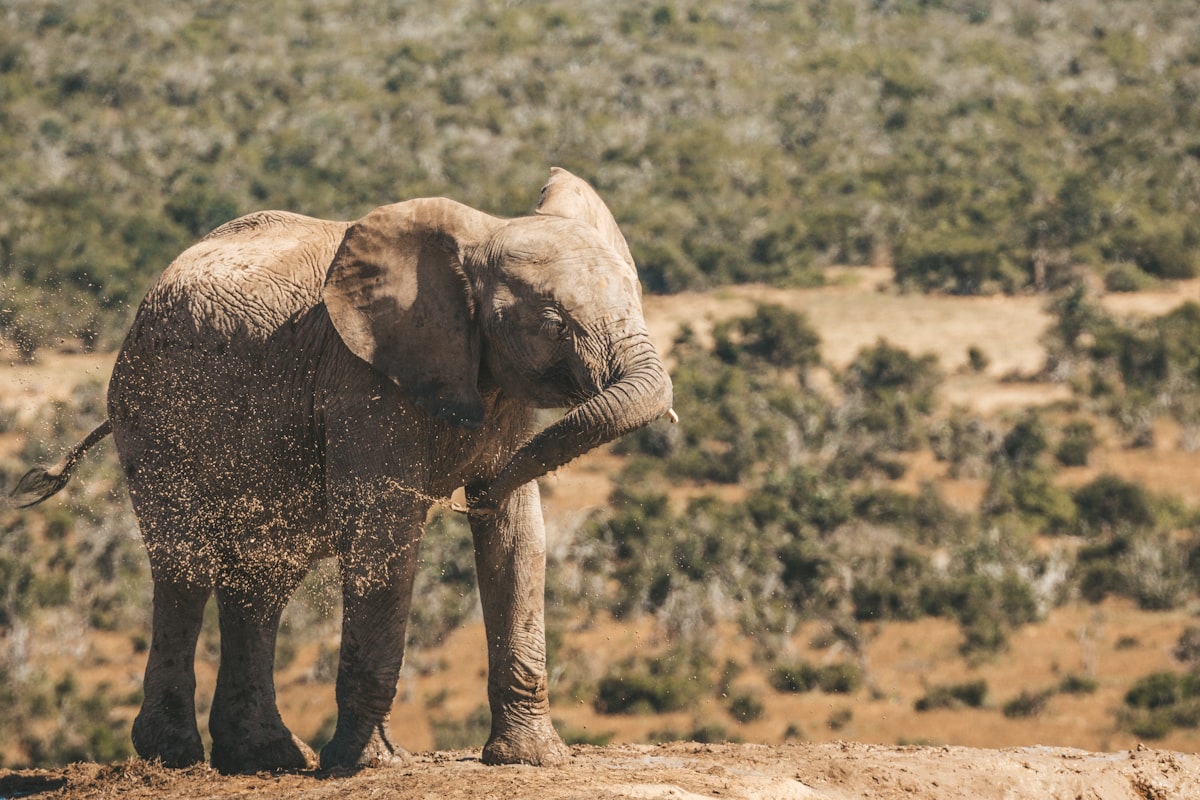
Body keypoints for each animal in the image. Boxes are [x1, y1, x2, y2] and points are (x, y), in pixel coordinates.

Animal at [10, 168, 674, 774]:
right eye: (553, 324)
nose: (468, 496)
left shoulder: (501, 398)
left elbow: (518, 541)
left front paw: (530, 760)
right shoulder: (362, 386)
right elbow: (386, 536)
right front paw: (369, 764)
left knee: (262, 580)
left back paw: (267, 757)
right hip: (153, 416)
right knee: (184, 570)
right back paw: (174, 758)